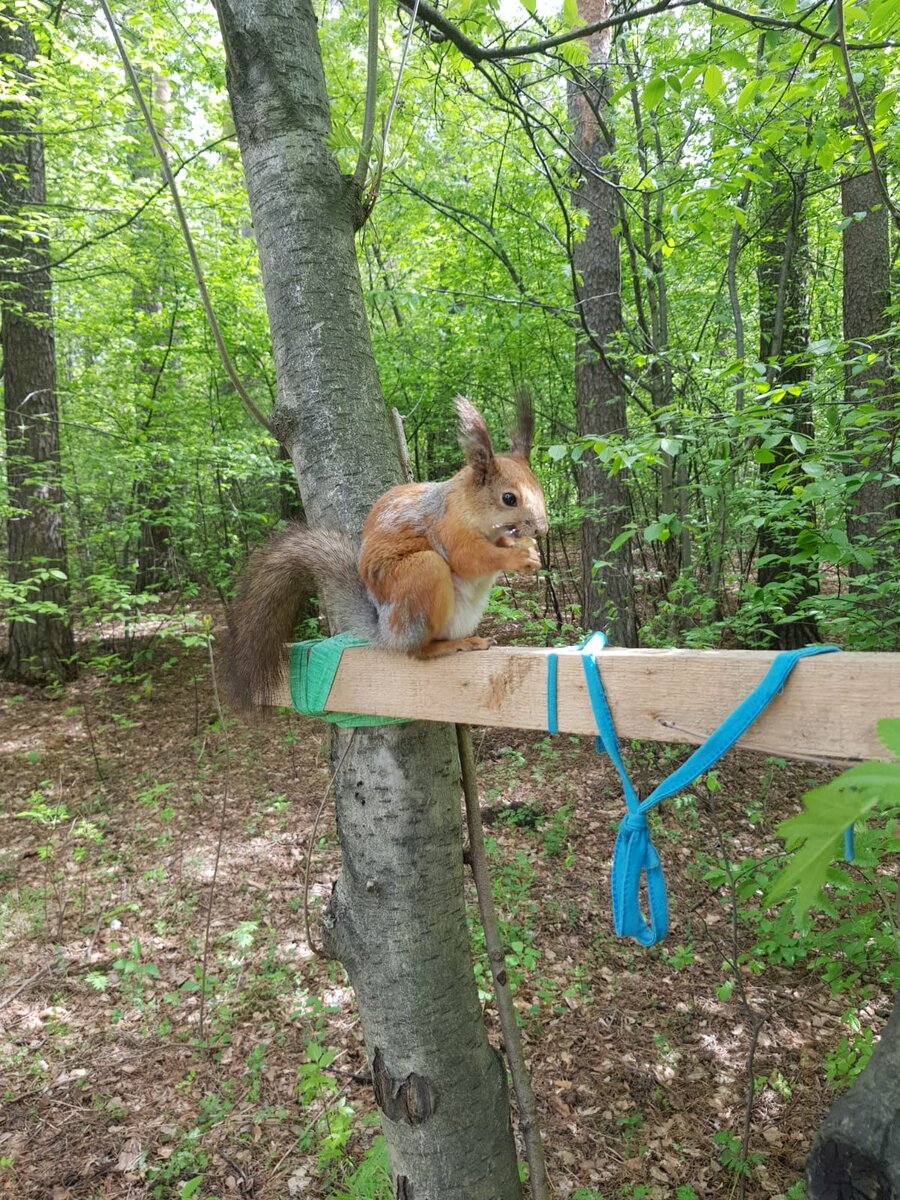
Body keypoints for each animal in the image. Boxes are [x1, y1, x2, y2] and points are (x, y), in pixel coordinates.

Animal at [226, 393, 549, 710]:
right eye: (509, 498)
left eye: (540, 487)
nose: (542, 530)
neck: (473, 510)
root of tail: (386, 634)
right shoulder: (448, 526)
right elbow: (468, 558)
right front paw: (517, 557)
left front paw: (529, 551)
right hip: (421, 578)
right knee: (417, 650)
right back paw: (451, 645)